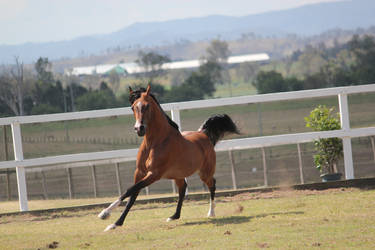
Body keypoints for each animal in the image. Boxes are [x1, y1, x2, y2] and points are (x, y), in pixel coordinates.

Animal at [98, 85, 239, 231]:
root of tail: (204, 134)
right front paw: (115, 223)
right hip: (178, 175)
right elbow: (133, 194)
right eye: (132, 107)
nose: (139, 129)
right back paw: (174, 216)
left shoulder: (154, 174)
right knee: (183, 188)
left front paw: (104, 213)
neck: (156, 142)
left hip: (204, 172)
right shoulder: (139, 172)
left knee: (212, 185)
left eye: (147, 106)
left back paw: (211, 213)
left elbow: (130, 190)